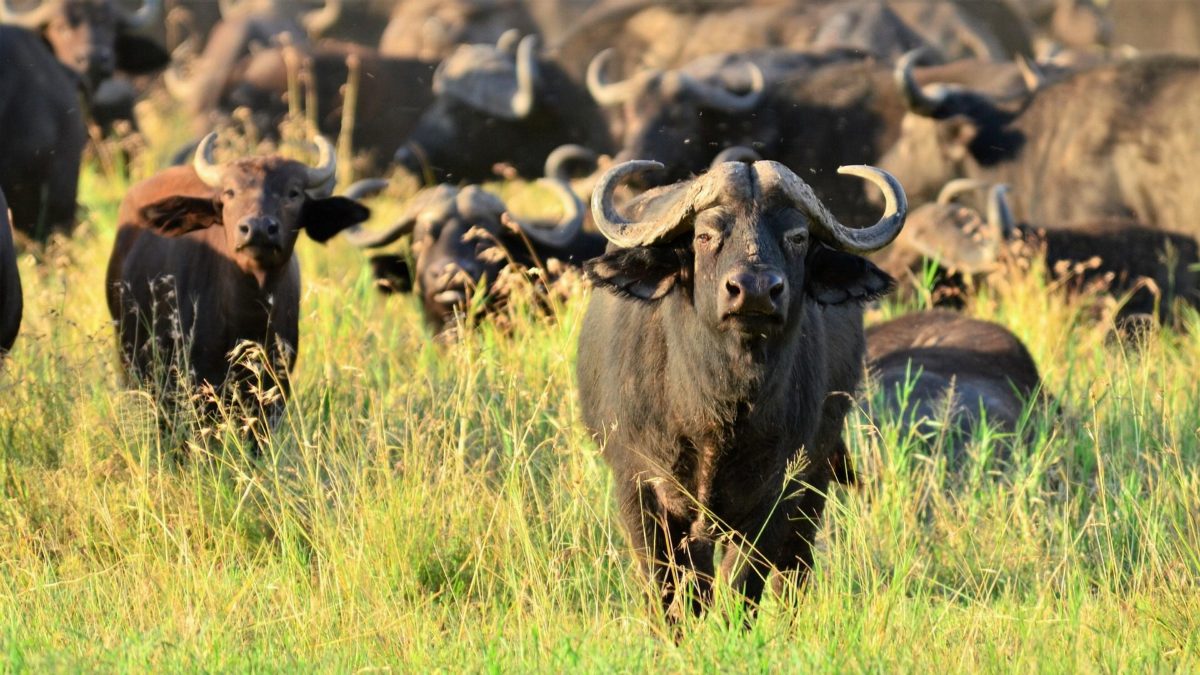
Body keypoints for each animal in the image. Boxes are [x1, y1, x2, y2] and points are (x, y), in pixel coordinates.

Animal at [576, 158, 907, 616]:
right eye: (705, 235)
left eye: (797, 236)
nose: (754, 291)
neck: (718, 409)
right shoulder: (638, 487)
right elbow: (669, 588)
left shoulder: (778, 494)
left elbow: (742, 586)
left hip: (816, 480)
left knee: (794, 572)